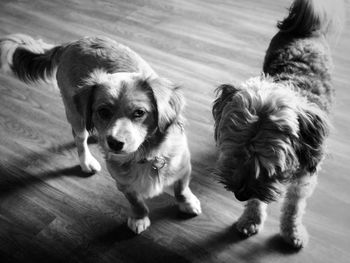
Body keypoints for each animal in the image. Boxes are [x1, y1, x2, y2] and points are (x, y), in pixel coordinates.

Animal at [0, 34, 201, 234]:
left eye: (139, 113)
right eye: (103, 111)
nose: (114, 143)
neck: (146, 155)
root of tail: (70, 44)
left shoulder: (183, 167)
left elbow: (181, 189)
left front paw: (188, 204)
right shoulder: (123, 184)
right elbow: (136, 202)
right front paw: (139, 218)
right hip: (76, 116)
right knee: (80, 140)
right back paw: (87, 161)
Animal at [212, 0, 344, 250]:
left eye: (268, 166)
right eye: (234, 153)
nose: (239, 195)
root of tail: (303, 28)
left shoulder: (304, 178)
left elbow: (294, 207)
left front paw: (293, 232)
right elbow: (257, 201)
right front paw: (251, 219)